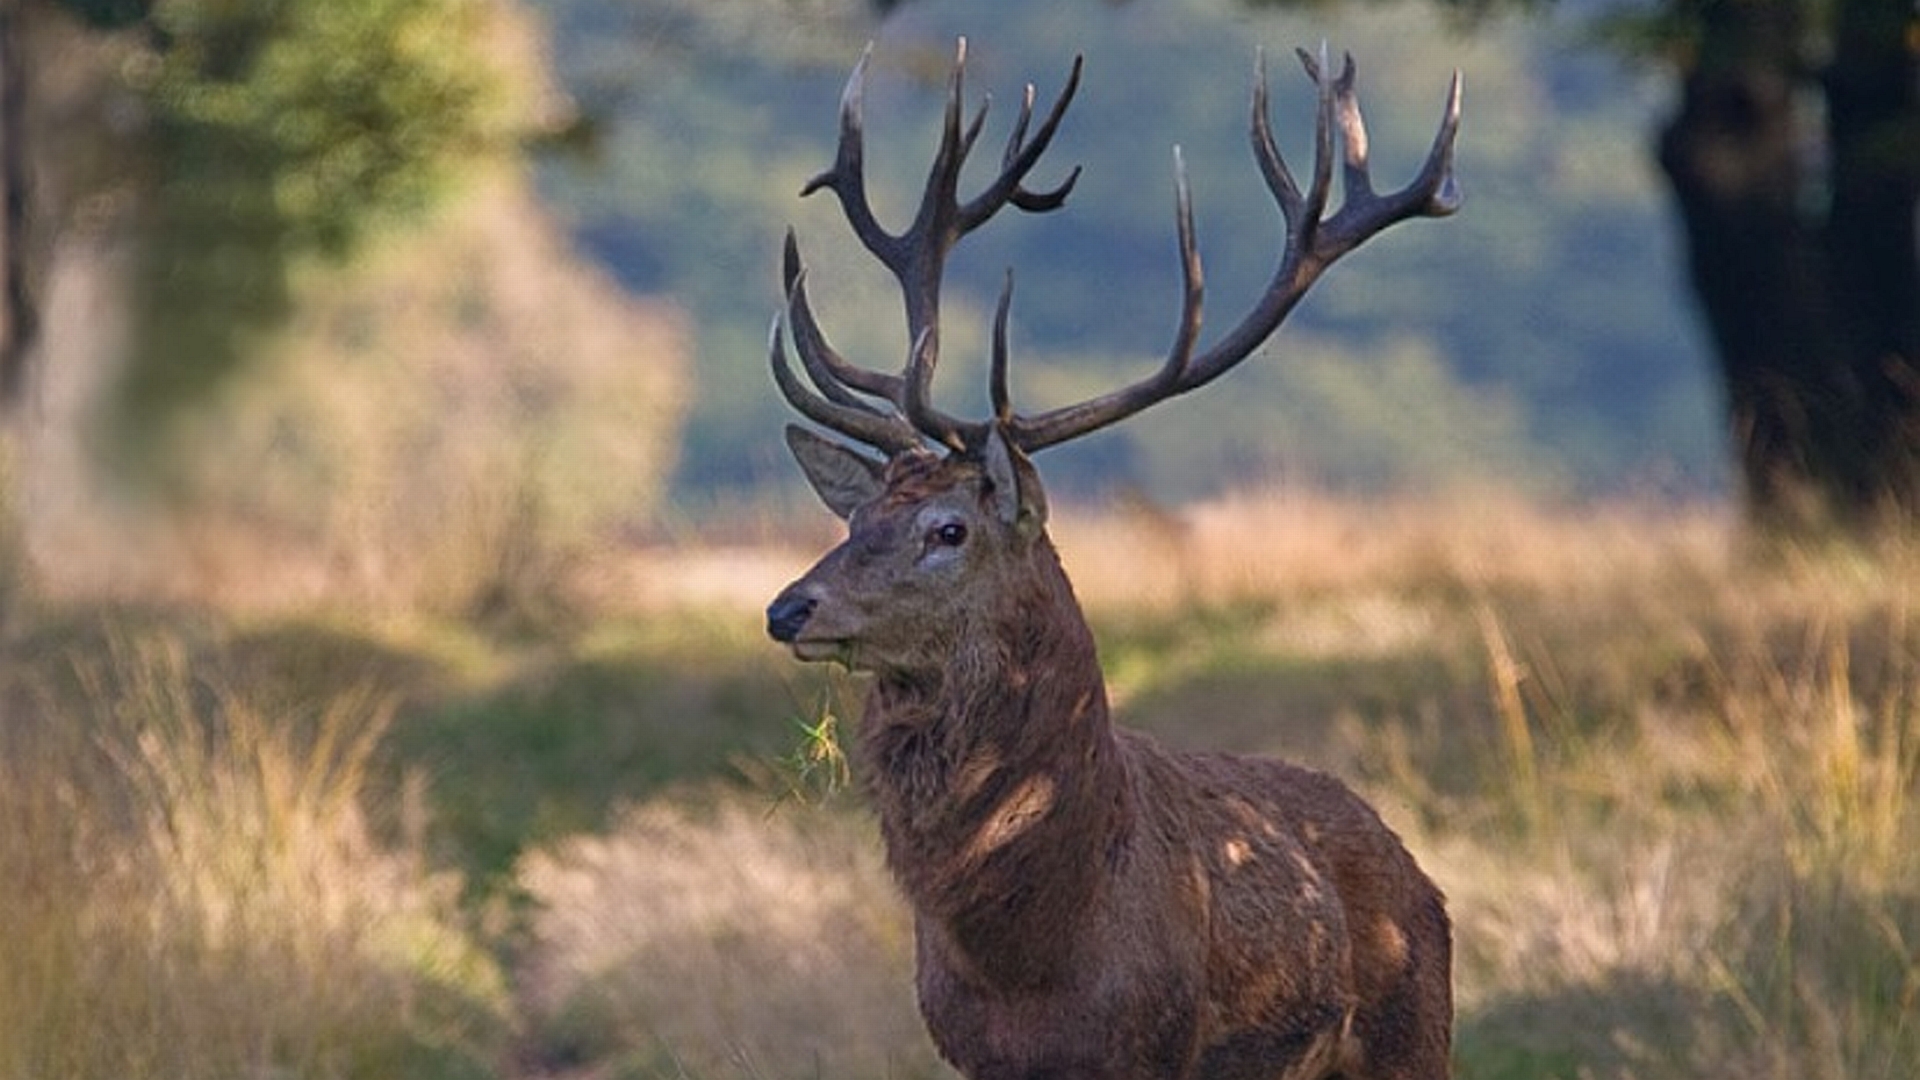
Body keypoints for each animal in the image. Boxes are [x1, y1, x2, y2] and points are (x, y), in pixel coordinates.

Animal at [764, 39, 1461, 1080]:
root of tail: (1418, 873)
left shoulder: (1152, 1046)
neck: (1036, 965)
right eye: (858, 521)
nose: (788, 608)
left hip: (1415, 1035)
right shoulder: (966, 1052)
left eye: (949, 530)